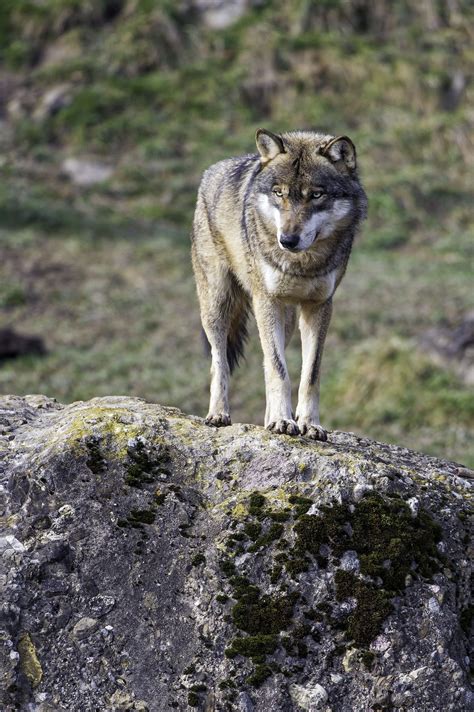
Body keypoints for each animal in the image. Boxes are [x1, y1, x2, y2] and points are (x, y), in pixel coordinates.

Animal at [191, 129, 368, 440]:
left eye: (316, 195)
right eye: (279, 193)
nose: (287, 240)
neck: (302, 265)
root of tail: (211, 171)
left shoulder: (319, 306)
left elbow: (308, 374)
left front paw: (308, 423)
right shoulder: (266, 300)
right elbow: (279, 370)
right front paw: (283, 421)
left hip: (285, 319)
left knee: (265, 362)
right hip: (217, 306)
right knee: (219, 362)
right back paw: (218, 415)